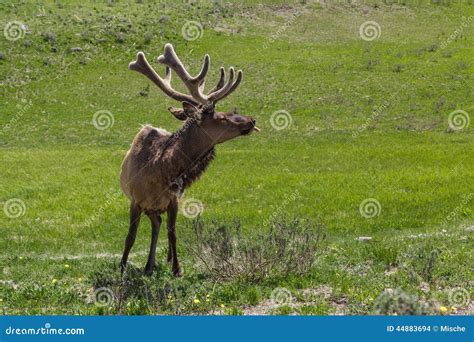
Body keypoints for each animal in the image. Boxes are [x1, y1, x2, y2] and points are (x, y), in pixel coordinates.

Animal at [119, 43, 260, 278]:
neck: (159, 171)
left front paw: (176, 268)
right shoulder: (135, 200)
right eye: (221, 117)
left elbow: (172, 234)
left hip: (157, 208)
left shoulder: (173, 200)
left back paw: (151, 264)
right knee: (154, 225)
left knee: (158, 225)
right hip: (147, 206)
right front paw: (121, 266)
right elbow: (130, 236)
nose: (252, 120)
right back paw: (148, 265)